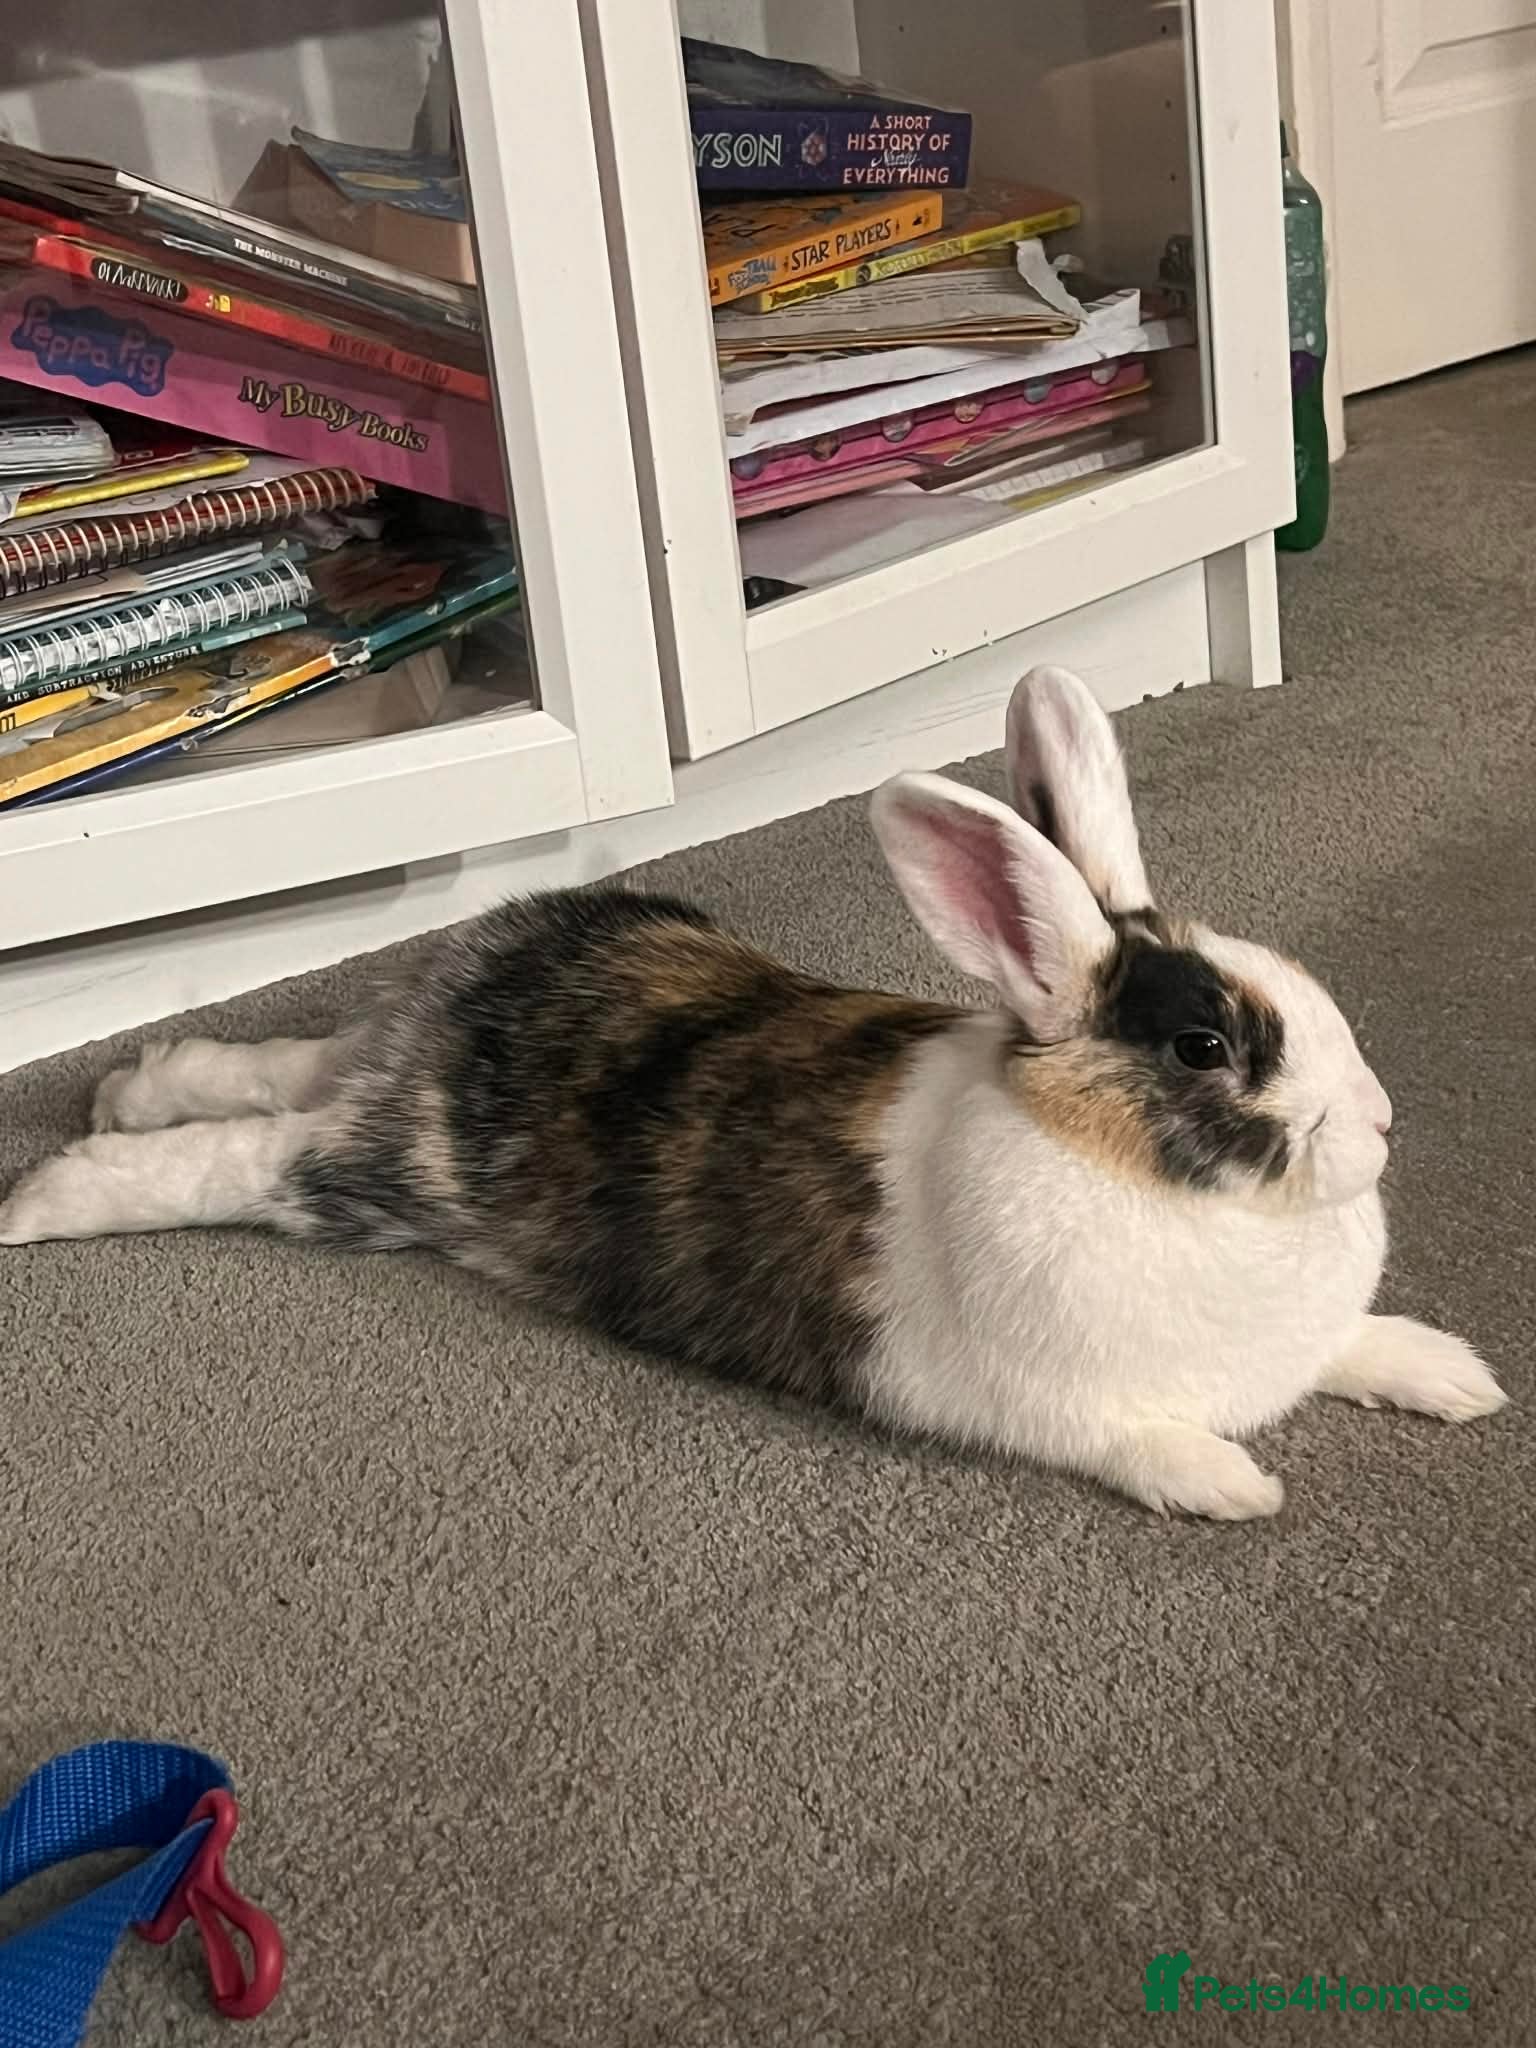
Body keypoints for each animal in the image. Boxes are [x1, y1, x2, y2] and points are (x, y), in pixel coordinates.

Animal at [0, 666, 1506, 1518]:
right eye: (1204, 1048)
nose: (1381, 1124)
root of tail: (492, 977)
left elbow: (1356, 1345)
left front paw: (1458, 1378)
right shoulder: (1054, 1406)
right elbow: (1147, 1445)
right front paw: (1239, 1488)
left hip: (379, 1067)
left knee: (294, 1060)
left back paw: (135, 1083)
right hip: (393, 1174)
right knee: (258, 1157)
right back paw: (49, 1196)